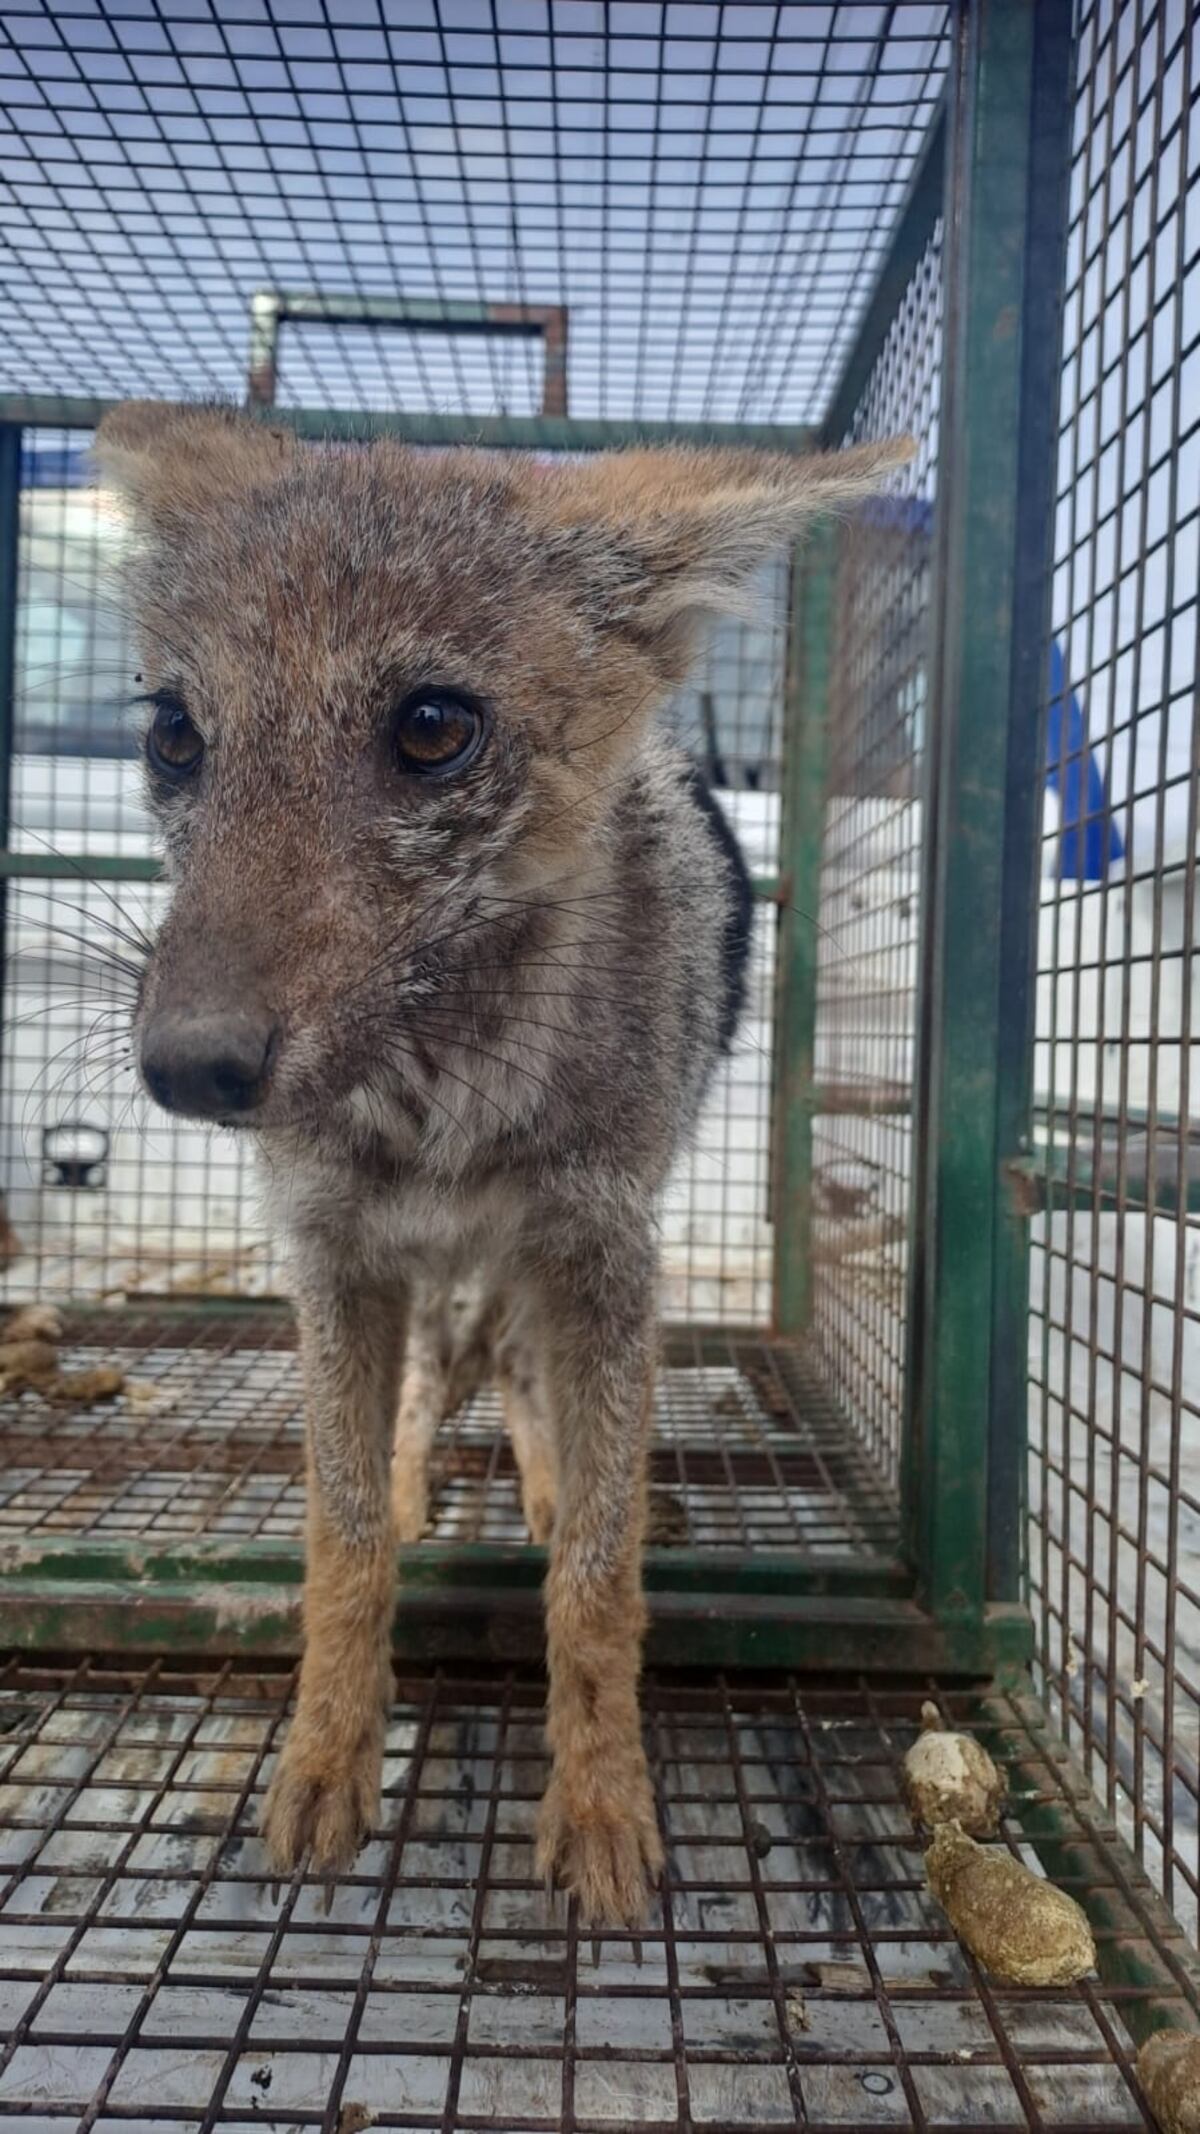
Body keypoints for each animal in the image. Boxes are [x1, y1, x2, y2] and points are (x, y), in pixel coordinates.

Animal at [95, 401, 907, 1926]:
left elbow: (597, 1572)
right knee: (424, 1393)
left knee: (531, 1388)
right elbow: (343, 1539)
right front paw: (324, 1762)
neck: (443, 1108)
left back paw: (536, 1471)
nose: (187, 1066)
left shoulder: (601, 1252)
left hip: (556, 1266)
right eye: (174, 734)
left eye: (431, 728)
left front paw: (600, 1803)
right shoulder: (334, 1253)